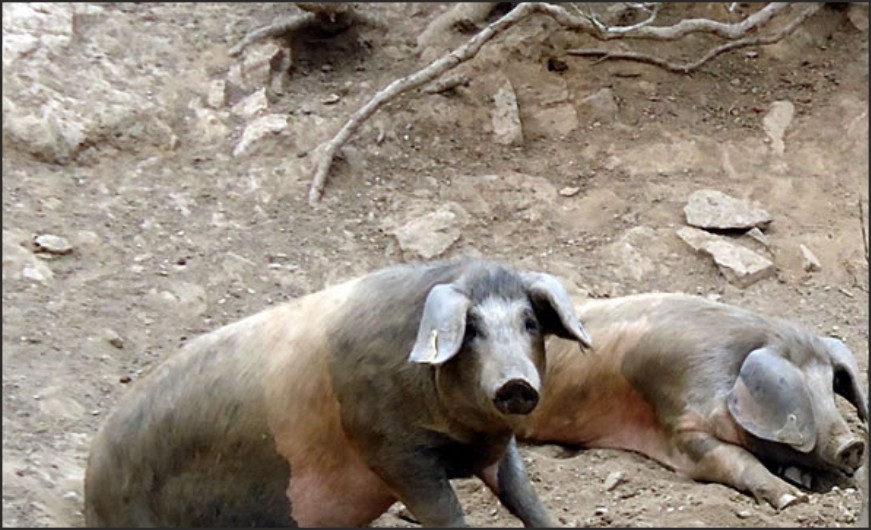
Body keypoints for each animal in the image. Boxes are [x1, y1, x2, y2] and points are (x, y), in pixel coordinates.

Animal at [84, 258, 592, 527]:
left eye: (529, 323)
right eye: (472, 331)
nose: (515, 384)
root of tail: (91, 480)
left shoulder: (496, 448)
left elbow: (525, 497)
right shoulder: (392, 451)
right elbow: (445, 513)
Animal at [517, 292, 868, 511]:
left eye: (829, 388)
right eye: (803, 393)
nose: (854, 444)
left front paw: (802, 480)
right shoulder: (680, 422)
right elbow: (733, 458)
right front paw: (792, 499)